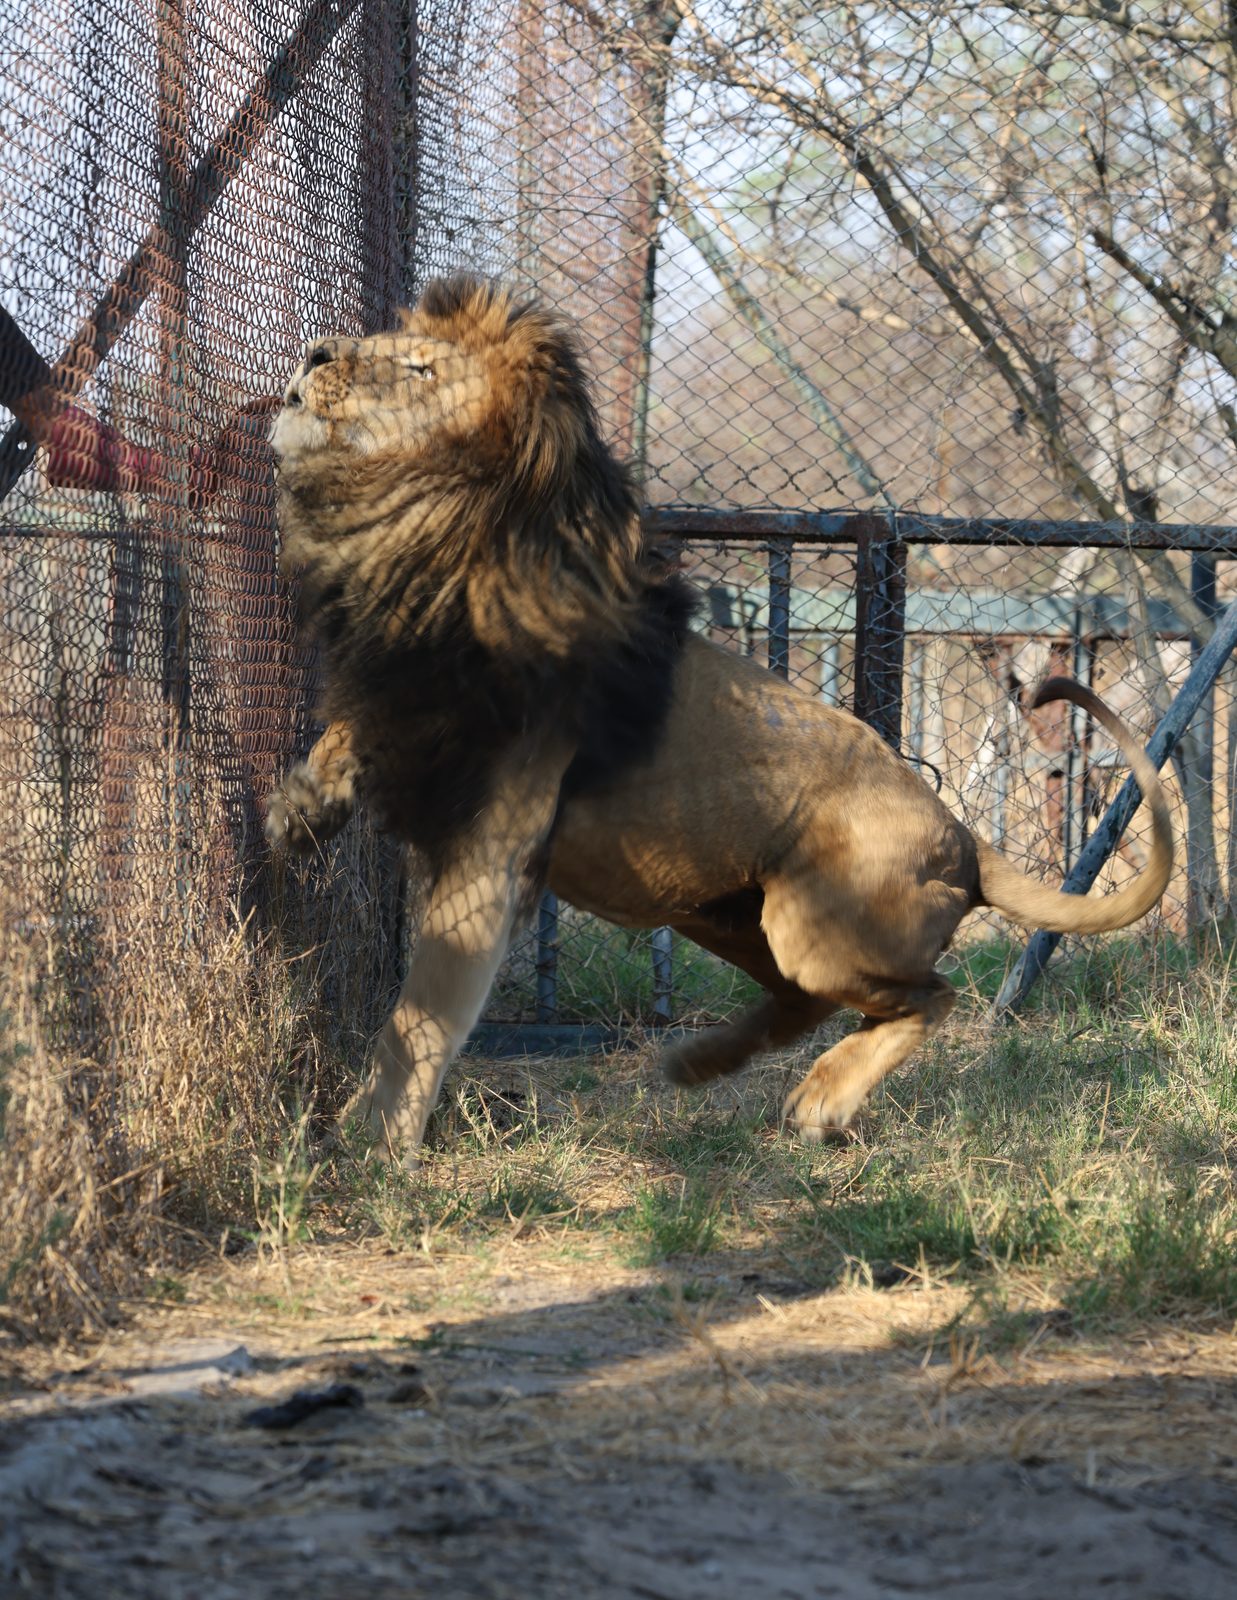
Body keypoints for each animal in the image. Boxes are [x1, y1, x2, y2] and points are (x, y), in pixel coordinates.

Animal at [267, 276, 1172, 1161]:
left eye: (418, 369)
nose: (312, 351)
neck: (432, 540)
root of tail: (962, 834)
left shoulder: (490, 849)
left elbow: (419, 1019)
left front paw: (370, 1146)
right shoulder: (401, 688)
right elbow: (346, 739)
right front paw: (296, 812)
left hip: (813, 928)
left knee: (928, 995)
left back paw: (818, 1100)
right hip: (719, 911)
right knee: (812, 1001)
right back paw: (702, 1062)